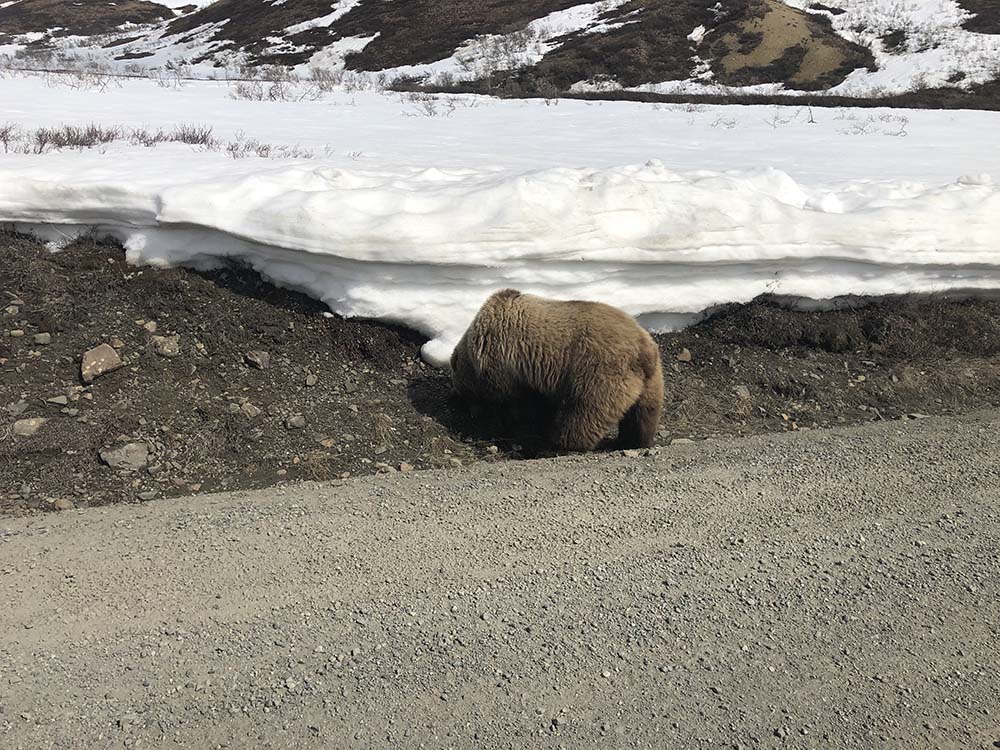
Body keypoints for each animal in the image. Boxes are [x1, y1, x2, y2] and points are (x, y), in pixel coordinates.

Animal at [450, 290, 660, 450]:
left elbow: (514, 403)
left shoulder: (506, 363)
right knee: (643, 414)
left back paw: (560, 444)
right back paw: (633, 441)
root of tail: (642, 349)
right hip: (650, 381)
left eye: (463, 392)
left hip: (600, 370)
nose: (467, 409)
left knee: (585, 410)